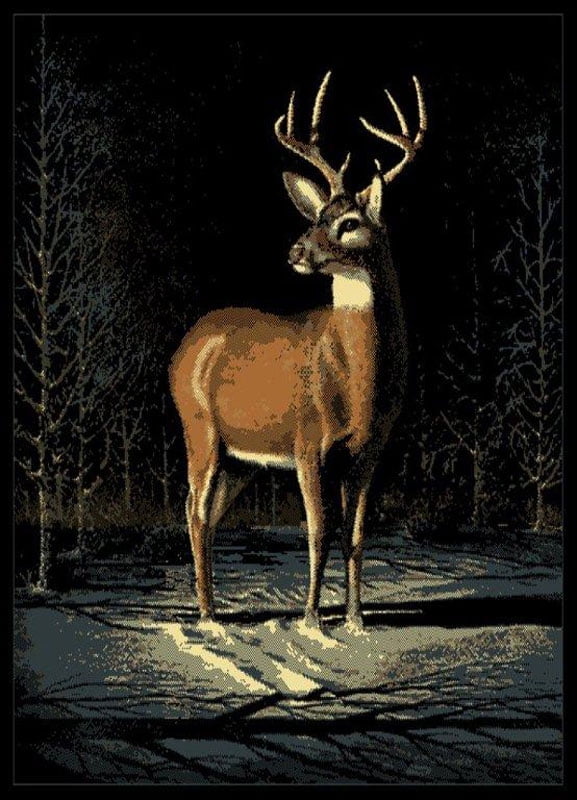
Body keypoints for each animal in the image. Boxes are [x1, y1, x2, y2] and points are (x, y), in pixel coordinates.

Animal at [169, 71, 426, 631]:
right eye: (317, 216)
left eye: (349, 222)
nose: (295, 251)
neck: (358, 381)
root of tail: (185, 342)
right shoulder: (308, 441)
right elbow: (318, 532)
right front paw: (311, 619)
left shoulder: (370, 451)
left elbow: (355, 536)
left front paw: (355, 620)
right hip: (199, 429)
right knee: (193, 511)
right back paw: (208, 616)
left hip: (240, 457)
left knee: (208, 515)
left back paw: (211, 608)